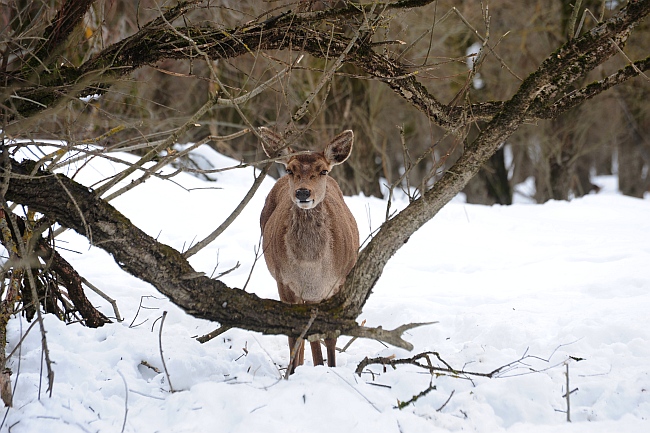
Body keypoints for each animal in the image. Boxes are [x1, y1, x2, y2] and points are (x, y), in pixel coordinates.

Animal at [258, 126, 360, 372]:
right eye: (290, 169)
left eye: (322, 170)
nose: (303, 193)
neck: (310, 267)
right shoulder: (284, 281)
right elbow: (296, 334)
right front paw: (297, 371)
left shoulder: (335, 284)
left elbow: (329, 335)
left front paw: (330, 367)